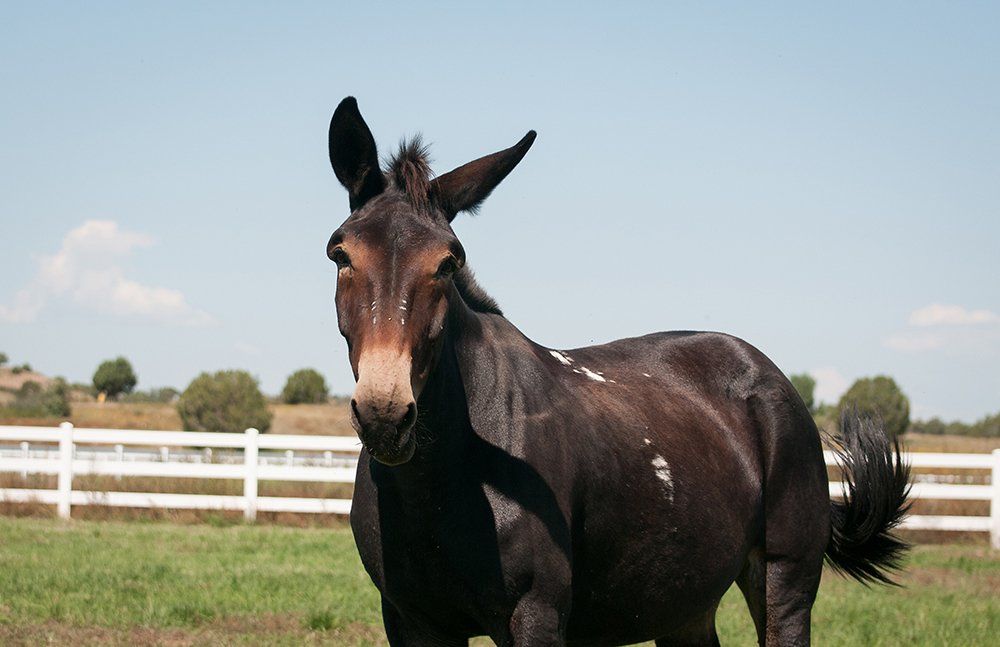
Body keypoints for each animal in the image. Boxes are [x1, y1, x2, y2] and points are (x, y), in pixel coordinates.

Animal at [325, 97, 910, 646]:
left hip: (784, 582)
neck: (445, 480)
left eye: (448, 261)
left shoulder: (536, 616)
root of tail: (767, 374)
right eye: (340, 254)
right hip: (684, 603)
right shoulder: (413, 622)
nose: (384, 413)